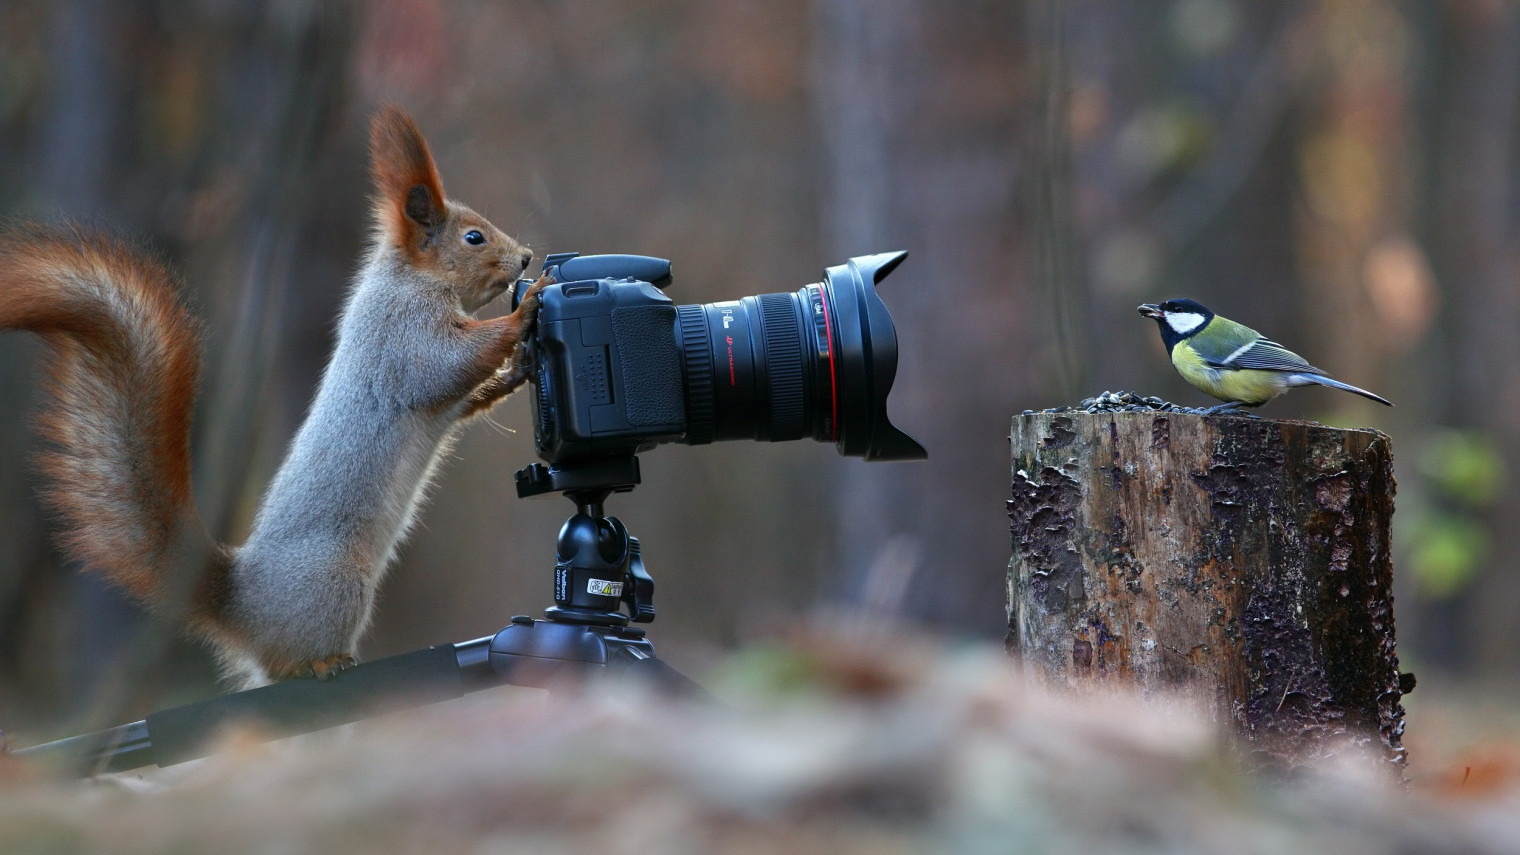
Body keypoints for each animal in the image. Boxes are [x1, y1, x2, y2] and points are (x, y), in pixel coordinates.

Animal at [0, 104, 553, 684]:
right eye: (473, 238)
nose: (526, 257)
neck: (410, 278)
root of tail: (244, 607)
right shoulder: (401, 334)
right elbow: (445, 365)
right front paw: (526, 309)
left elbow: (464, 395)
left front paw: (520, 367)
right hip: (337, 581)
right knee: (286, 662)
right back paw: (323, 662)